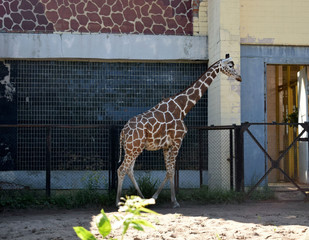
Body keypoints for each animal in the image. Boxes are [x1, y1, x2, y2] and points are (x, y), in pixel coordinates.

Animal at [115, 54, 241, 208]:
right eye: (230, 65)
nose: (239, 77)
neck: (182, 108)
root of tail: (123, 131)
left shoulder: (166, 145)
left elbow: (169, 171)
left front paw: (156, 197)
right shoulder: (177, 141)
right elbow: (171, 171)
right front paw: (174, 201)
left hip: (133, 148)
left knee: (129, 169)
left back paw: (142, 198)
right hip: (134, 148)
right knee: (121, 169)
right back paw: (118, 202)